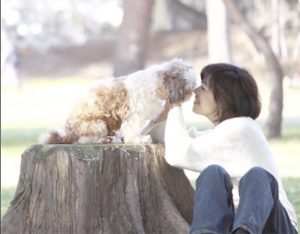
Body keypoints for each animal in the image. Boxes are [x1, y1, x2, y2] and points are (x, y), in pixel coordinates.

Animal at [41, 58, 197, 144]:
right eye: (189, 88)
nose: (192, 94)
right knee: (85, 140)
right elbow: (132, 129)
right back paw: (109, 140)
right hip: (97, 124)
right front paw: (137, 140)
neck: (156, 85)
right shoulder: (134, 114)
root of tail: (68, 133)